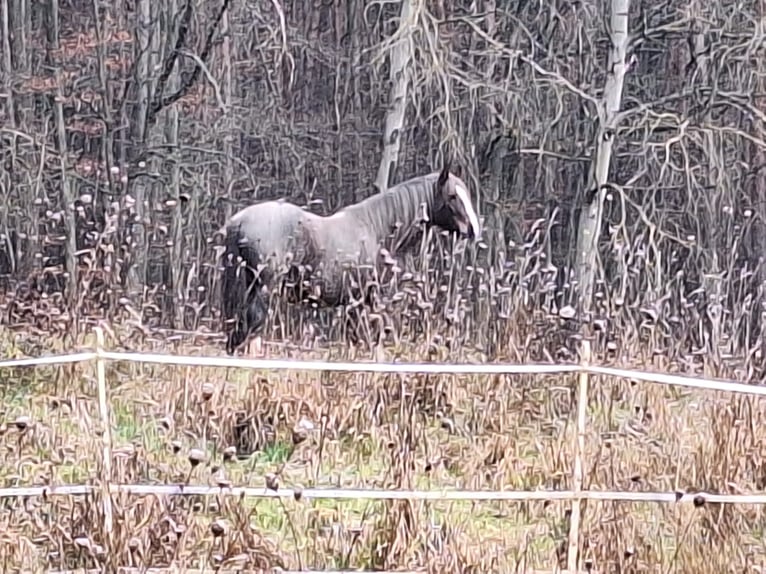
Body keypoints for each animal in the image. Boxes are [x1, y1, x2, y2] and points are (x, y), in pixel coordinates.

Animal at [219, 162, 480, 358]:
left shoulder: (354, 303)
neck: (376, 229)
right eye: (452, 196)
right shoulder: (369, 301)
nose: (474, 229)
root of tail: (238, 222)